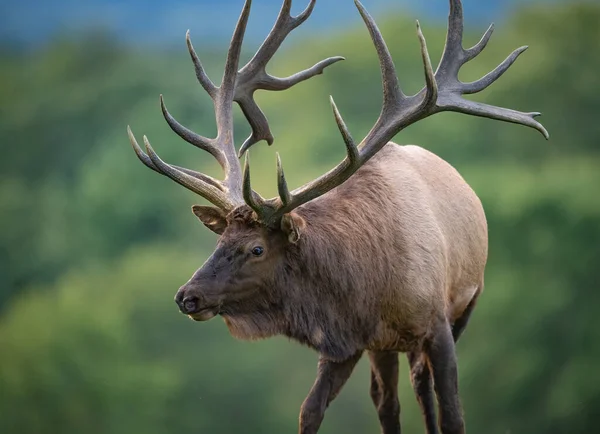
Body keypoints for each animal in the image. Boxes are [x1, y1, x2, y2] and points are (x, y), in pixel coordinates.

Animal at [126, 0, 548, 434]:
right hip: (384, 346)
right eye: (220, 239)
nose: (187, 296)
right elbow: (310, 410)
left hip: (464, 303)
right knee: (389, 400)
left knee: (422, 386)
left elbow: (453, 414)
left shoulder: (437, 323)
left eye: (257, 248)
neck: (366, 285)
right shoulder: (345, 341)